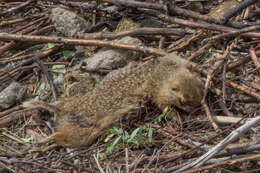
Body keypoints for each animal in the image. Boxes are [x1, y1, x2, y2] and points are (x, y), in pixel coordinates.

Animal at [23, 53, 204, 147]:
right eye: (183, 101)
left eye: (201, 92)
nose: (197, 109)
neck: (163, 73)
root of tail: (63, 110)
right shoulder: (159, 93)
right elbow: (165, 107)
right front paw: (177, 117)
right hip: (82, 134)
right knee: (61, 137)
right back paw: (42, 140)